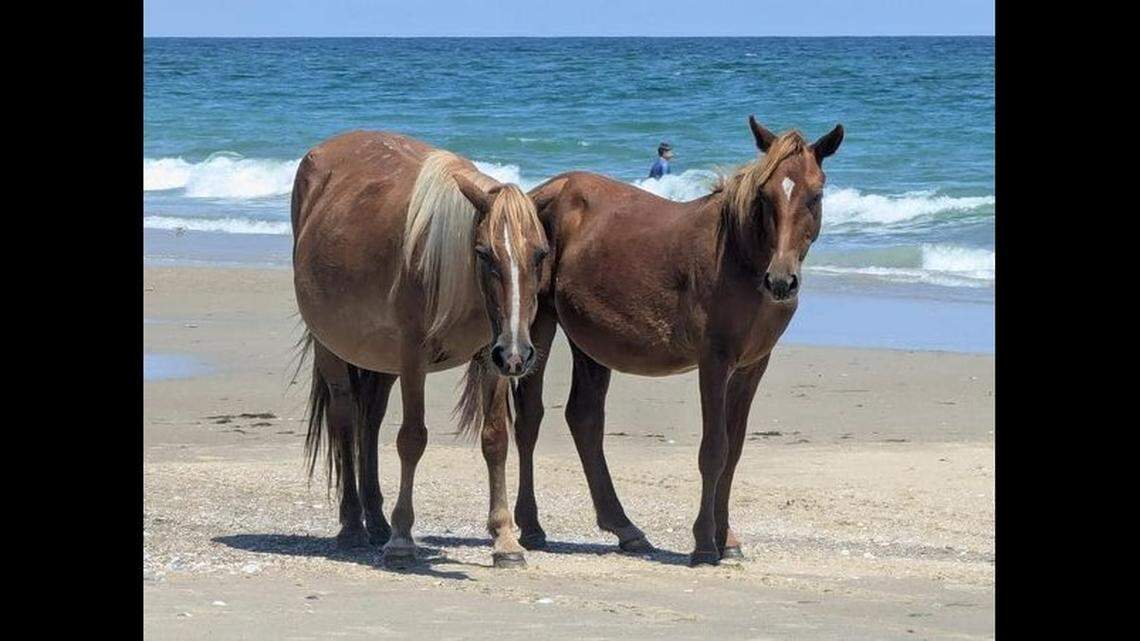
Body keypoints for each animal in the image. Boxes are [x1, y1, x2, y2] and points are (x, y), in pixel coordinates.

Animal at [291, 131, 551, 568]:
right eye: (484, 253)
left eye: (539, 254)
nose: (519, 353)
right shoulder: (414, 359)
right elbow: (412, 439)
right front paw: (402, 539)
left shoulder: (493, 358)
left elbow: (496, 439)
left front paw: (504, 538)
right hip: (333, 350)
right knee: (346, 419)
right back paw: (353, 525)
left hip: (381, 360)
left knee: (369, 421)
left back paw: (376, 520)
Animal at [505, 117, 844, 566]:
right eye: (765, 195)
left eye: (815, 194)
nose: (781, 281)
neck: (740, 258)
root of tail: (540, 194)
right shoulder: (715, 362)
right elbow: (714, 450)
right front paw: (704, 543)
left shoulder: (752, 366)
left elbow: (734, 451)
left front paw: (727, 538)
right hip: (540, 322)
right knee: (530, 418)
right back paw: (531, 526)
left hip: (590, 341)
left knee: (585, 420)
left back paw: (625, 528)